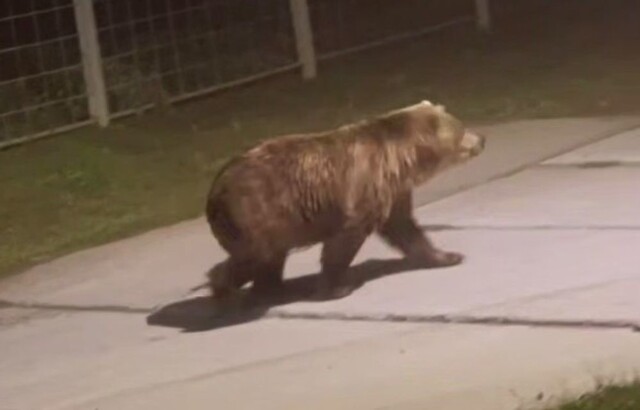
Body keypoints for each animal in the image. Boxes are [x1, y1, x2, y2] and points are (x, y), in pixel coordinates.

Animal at [204, 100, 485, 303]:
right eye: (462, 128)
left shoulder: (393, 192)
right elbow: (344, 240)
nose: (481, 139)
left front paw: (448, 256)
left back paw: (271, 290)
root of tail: (214, 189)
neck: (402, 160)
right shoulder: (363, 187)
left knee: (270, 257)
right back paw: (224, 290)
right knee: (256, 254)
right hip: (256, 208)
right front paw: (337, 287)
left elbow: (405, 229)